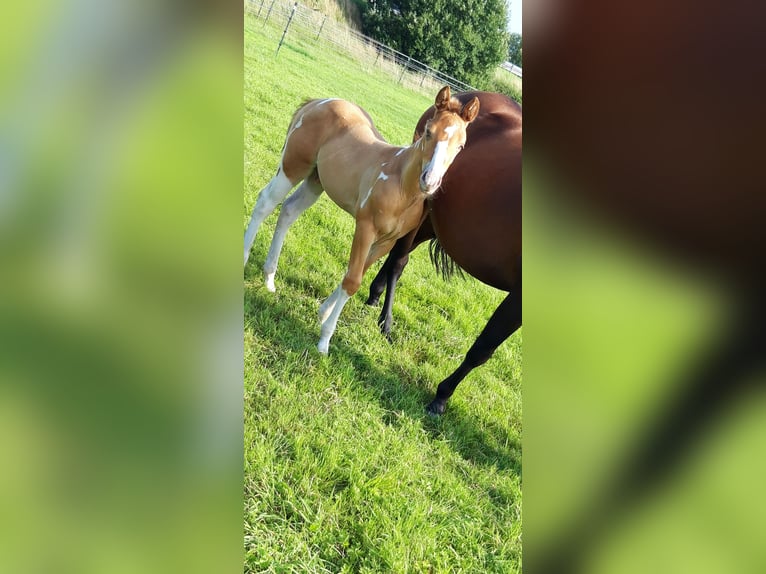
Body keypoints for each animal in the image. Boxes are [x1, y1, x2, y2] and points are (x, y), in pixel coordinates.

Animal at [243, 86, 480, 355]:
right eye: (429, 132)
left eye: (460, 146)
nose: (429, 181)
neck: (401, 185)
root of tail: (317, 102)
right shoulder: (366, 228)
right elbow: (352, 281)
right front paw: (324, 340)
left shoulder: (387, 241)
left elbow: (358, 271)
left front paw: (323, 312)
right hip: (292, 167)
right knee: (265, 203)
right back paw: (245, 260)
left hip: (316, 181)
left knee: (288, 211)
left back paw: (269, 278)